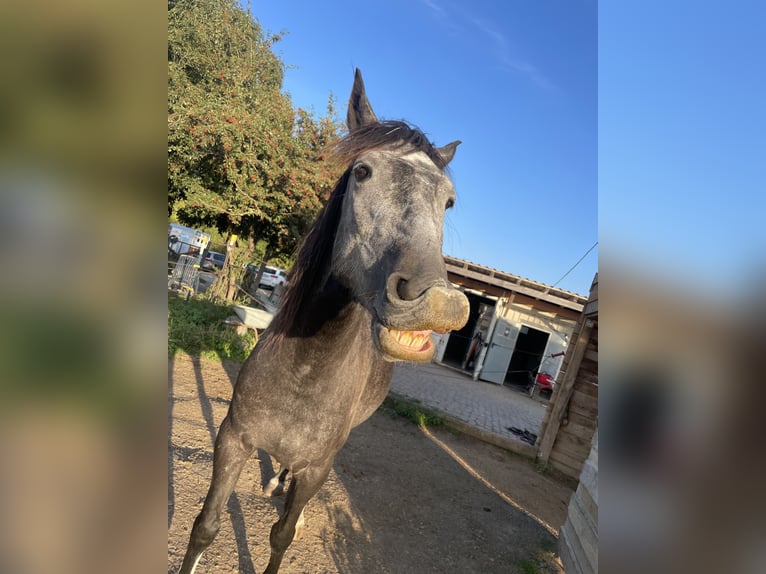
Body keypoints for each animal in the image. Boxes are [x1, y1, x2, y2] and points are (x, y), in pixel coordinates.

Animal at [180, 68, 472, 574]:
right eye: (362, 171)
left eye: (449, 200)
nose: (438, 302)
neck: (305, 372)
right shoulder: (232, 439)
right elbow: (206, 525)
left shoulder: (318, 469)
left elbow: (281, 535)